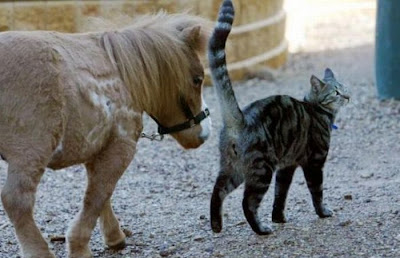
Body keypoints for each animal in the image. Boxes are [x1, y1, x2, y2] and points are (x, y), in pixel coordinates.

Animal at [208, 0, 348, 235]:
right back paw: (261, 229)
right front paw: (323, 212)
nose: (347, 96)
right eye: (336, 92)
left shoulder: (287, 167)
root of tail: (240, 119)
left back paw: (216, 225)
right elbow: (317, 192)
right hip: (261, 170)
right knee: (247, 202)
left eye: (345, 88)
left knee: (217, 191)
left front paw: (279, 218)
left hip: (233, 168)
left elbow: (280, 195)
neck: (317, 109)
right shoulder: (314, 162)